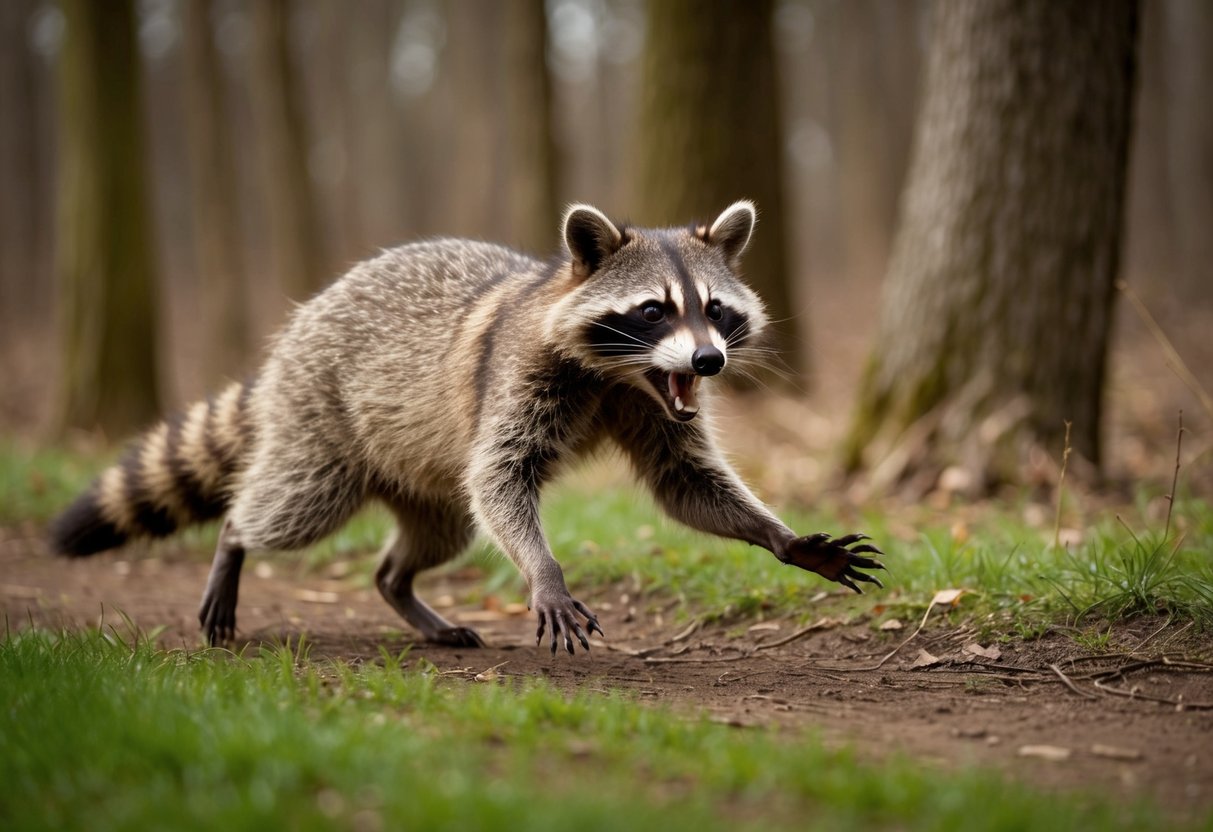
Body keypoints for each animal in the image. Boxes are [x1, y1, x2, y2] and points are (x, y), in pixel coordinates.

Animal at [49, 201, 884, 655]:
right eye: (654, 310)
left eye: (714, 309)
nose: (708, 361)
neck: (620, 374)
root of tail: (306, 319)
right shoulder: (517, 378)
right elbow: (500, 477)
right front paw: (544, 572)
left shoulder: (653, 407)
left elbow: (685, 484)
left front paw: (783, 537)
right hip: (321, 419)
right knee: (292, 505)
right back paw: (234, 543)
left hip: (418, 476)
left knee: (434, 536)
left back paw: (402, 589)